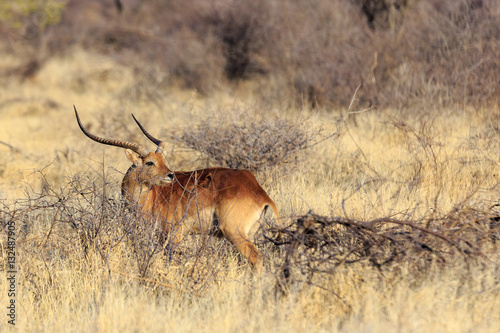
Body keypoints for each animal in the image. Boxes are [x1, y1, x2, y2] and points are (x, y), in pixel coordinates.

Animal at [76, 105, 284, 272]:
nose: (170, 175)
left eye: (161, 159)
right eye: (151, 162)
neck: (153, 197)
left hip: (234, 232)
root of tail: (259, 192)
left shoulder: (173, 234)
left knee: (256, 258)